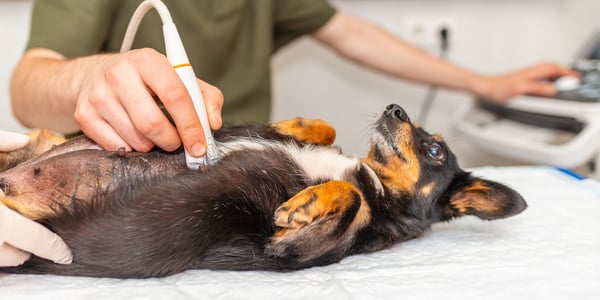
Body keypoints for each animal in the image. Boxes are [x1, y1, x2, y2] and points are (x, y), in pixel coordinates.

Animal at [0, 104, 524, 278]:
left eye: (434, 149)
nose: (395, 108)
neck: (374, 179)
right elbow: (324, 129)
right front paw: (295, 125)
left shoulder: (286, 253)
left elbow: (350, 200)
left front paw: (302, 205)